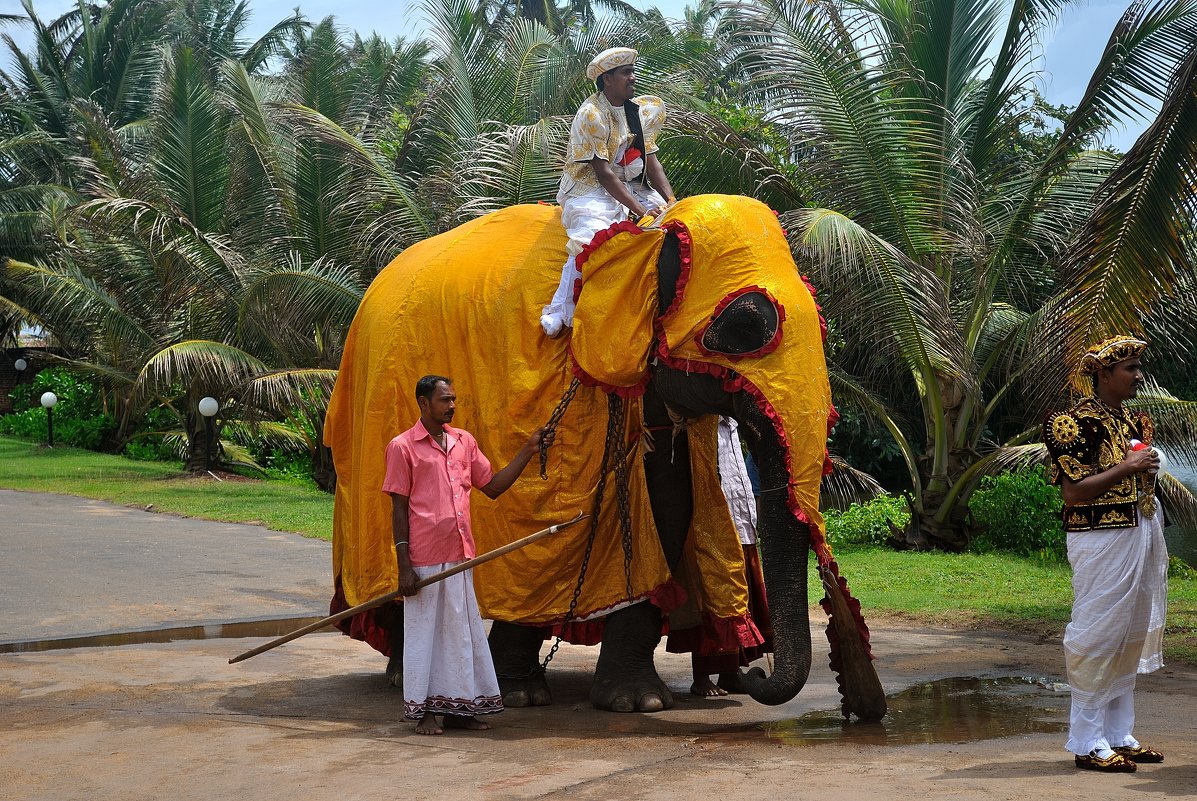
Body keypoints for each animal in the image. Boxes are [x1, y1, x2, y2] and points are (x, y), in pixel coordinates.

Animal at [323, 193, 885, 718]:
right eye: (746, 326)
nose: (753, 675)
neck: (644, 238)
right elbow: (535, 532)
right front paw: (521, 694)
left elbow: (667, 508)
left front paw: (639, 702)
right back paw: (403, 674)